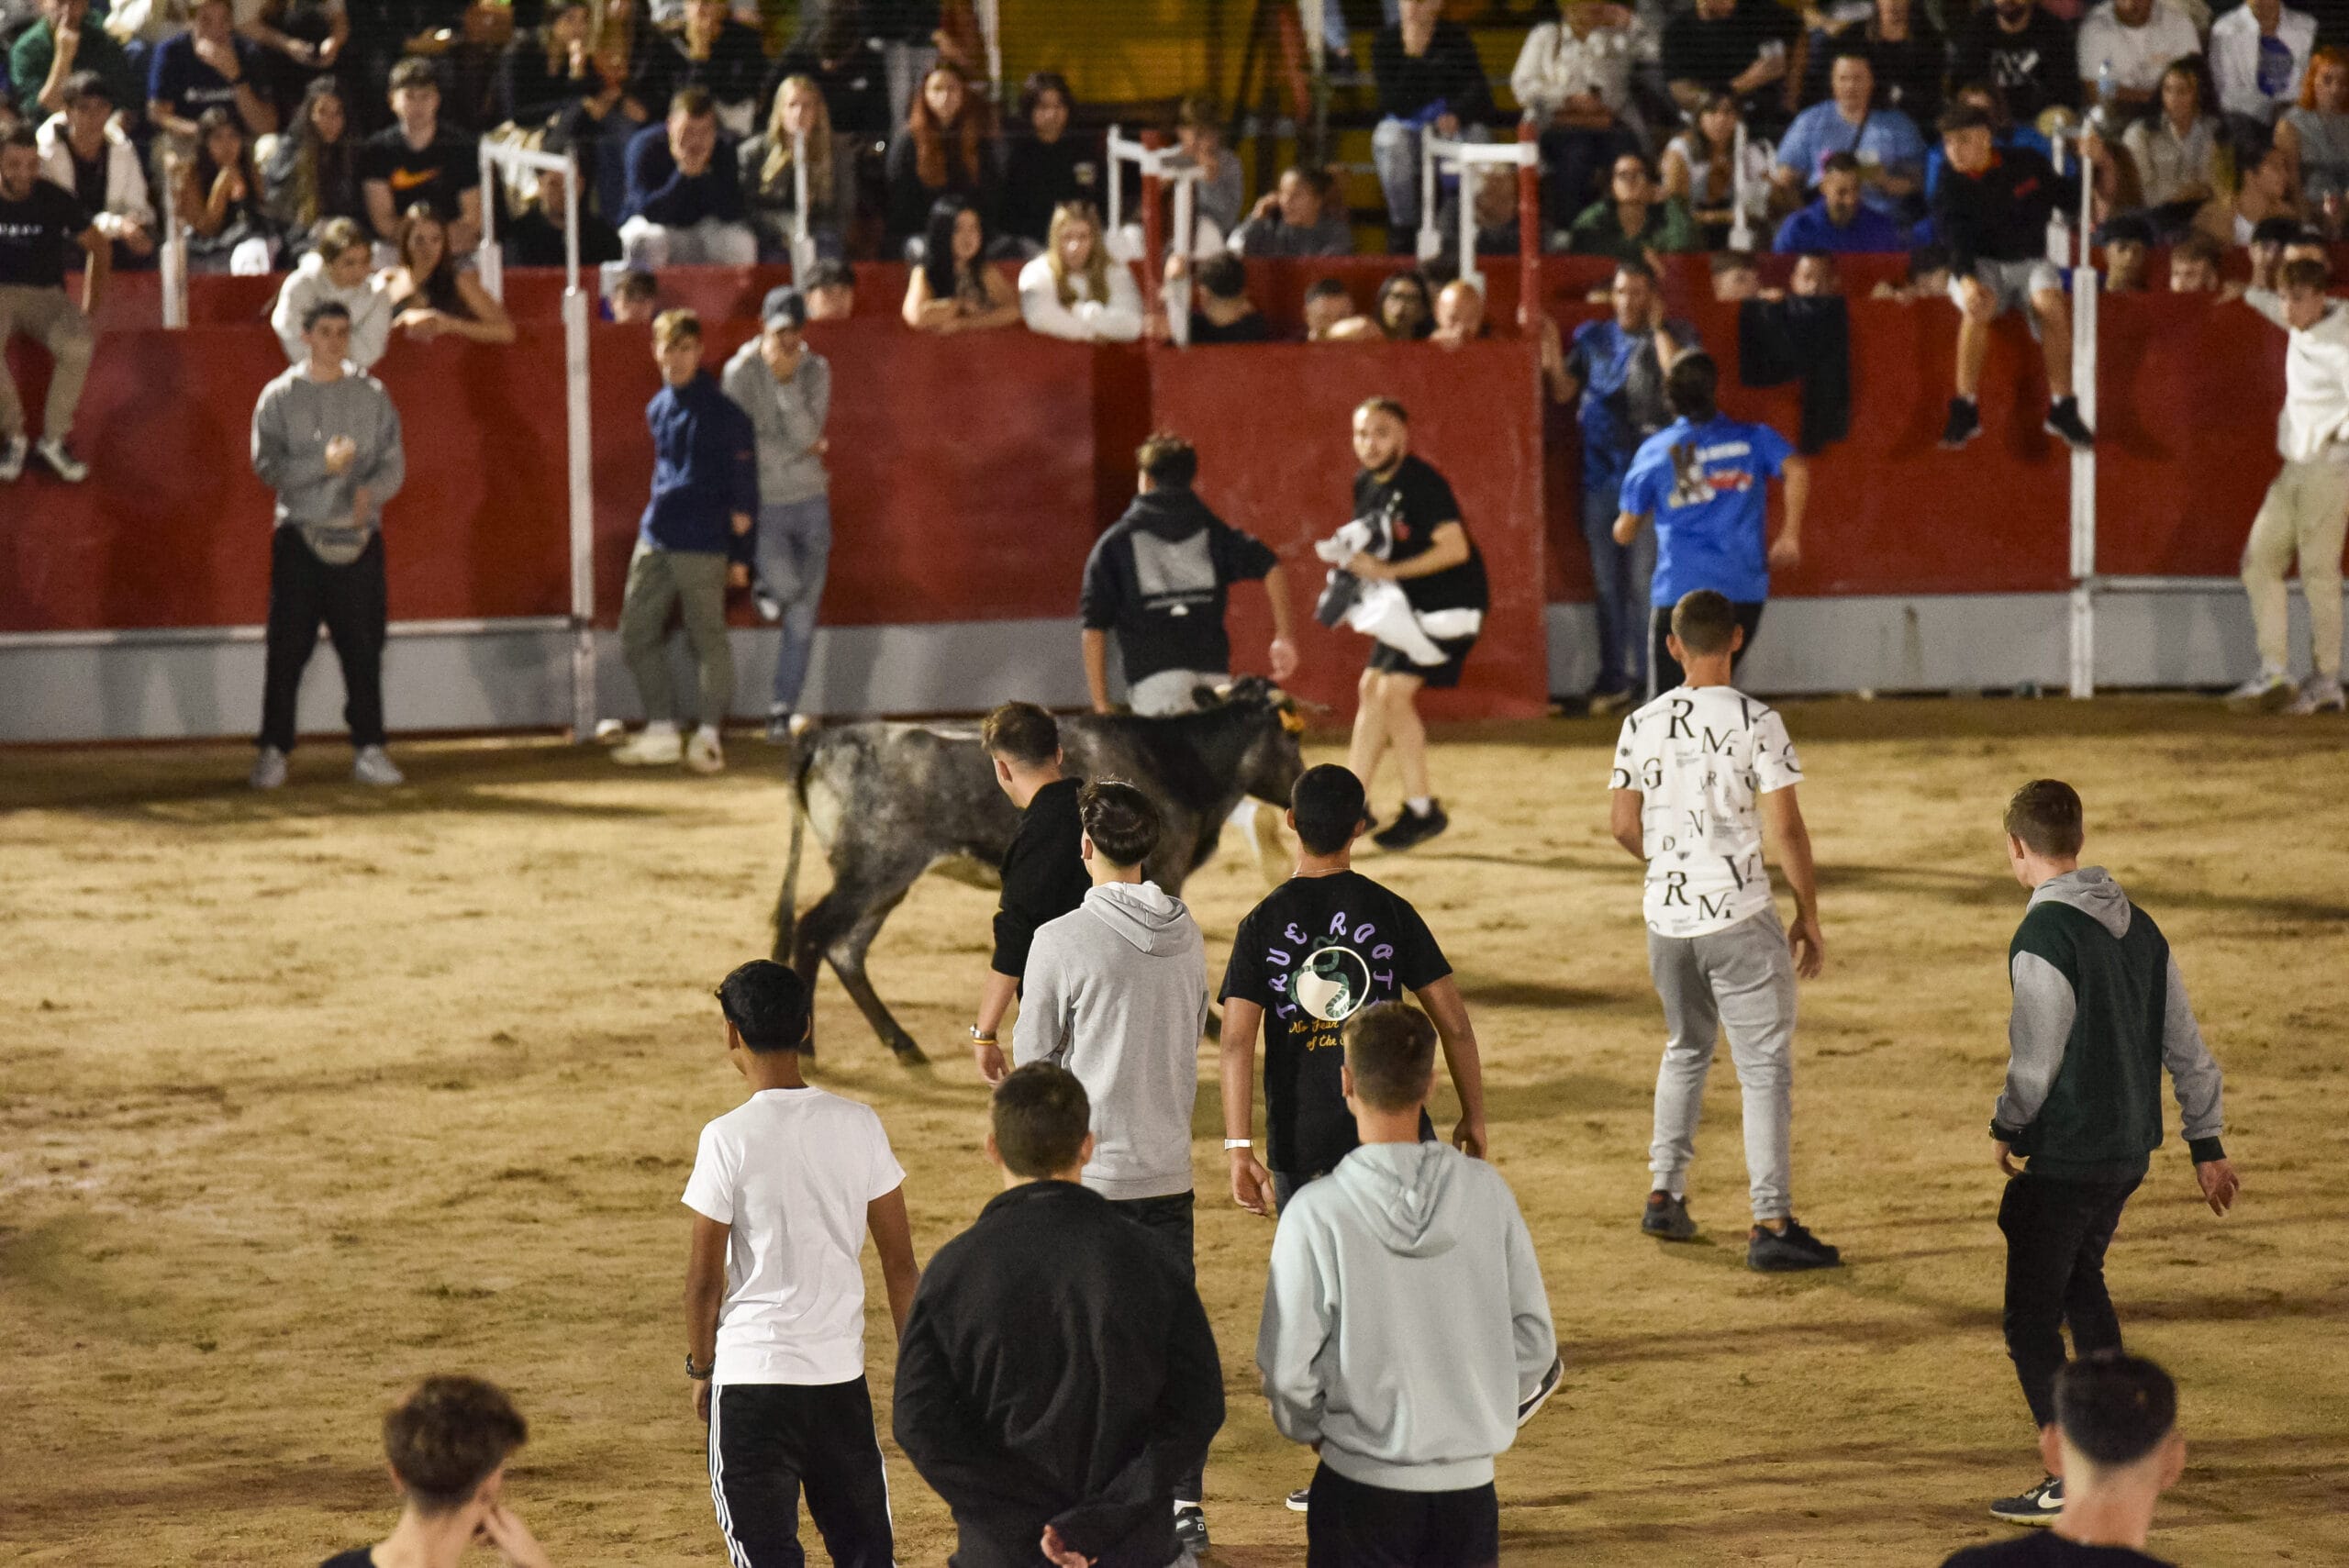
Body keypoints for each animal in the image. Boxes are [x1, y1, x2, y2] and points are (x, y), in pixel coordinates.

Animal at [773, 678, 1308, 1063]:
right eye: (1289, 735)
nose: (1302, 783)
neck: (1175, 761)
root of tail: (825, 739)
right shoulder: (1165, 868)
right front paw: (1211, 1025)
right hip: (873, 871)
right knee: (814, 931)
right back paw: (806, 1047)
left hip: (885, 883)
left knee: (846, 950)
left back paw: (902, 1043)